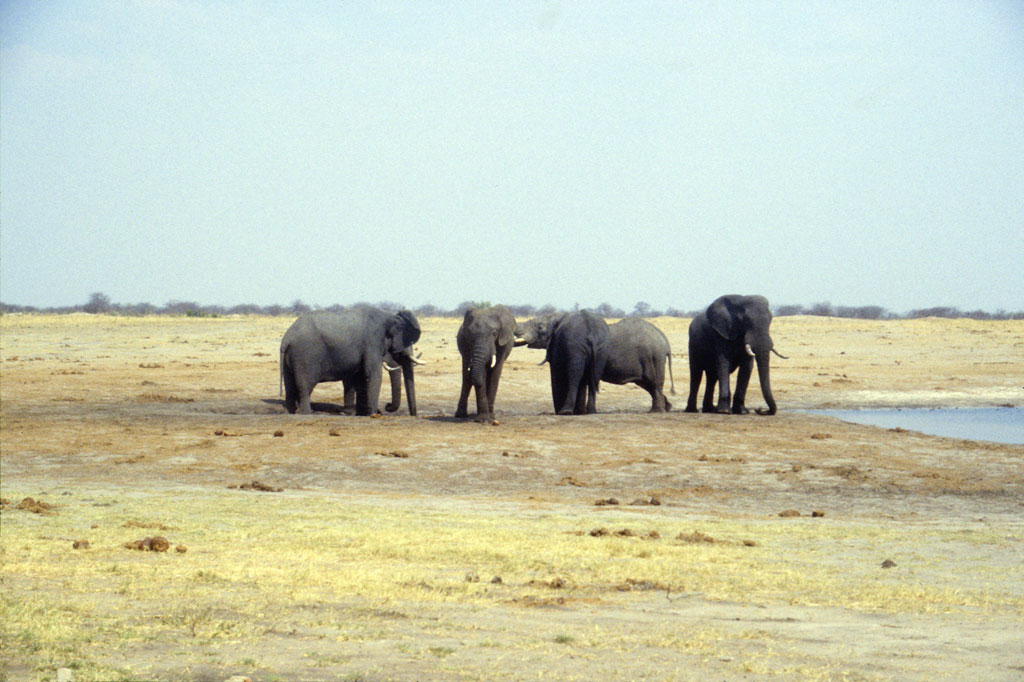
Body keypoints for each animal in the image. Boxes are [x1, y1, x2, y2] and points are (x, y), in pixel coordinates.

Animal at [280, 307, 419, 413]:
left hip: (291, 357)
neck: (390, 316)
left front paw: (357, 413)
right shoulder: (372, 342)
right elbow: (373, 375)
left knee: (290, 386)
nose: (388, 406)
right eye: (408, 344)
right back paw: (308, 413)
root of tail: (287, 338)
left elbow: (358, 378)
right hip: (304, 356)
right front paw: (373, 413)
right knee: (304, 387)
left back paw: (291, 411)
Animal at [516, 311, 675, 409]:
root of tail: (665, 341)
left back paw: (657, 411)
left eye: (540, 327)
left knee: (654, 383)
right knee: (649, 384)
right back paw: (666, 407)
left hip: (654, 358)